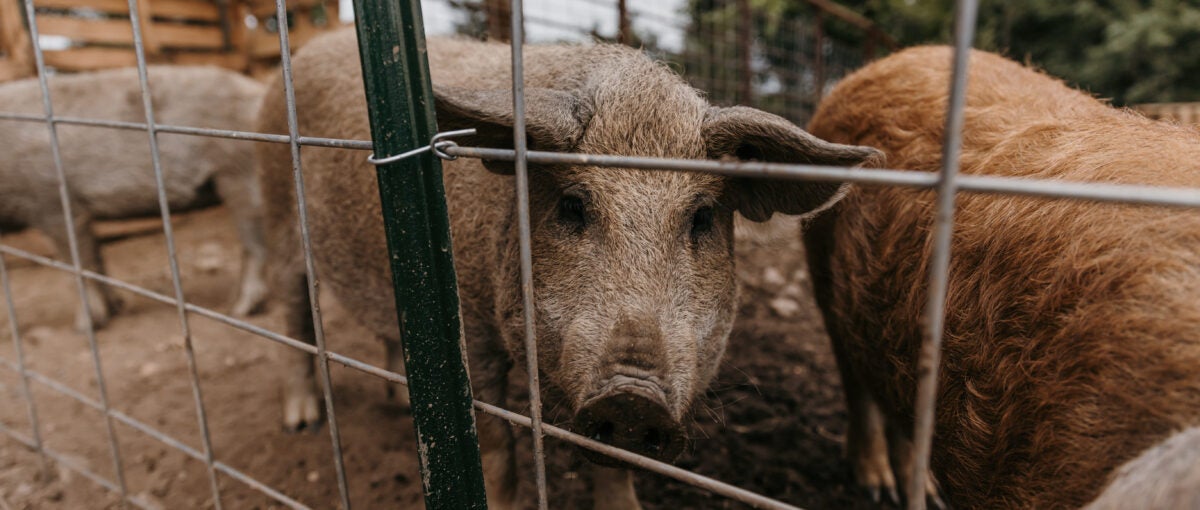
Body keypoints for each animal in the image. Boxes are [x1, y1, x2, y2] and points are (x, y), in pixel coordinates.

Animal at [0, 65, 270, 328]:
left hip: (239, 170)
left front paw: (87, 327)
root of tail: (258, 91)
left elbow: (76, 264)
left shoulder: (53, 202)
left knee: (253, 243)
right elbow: (96, 258)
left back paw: (240, 310)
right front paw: (116, 309)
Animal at [260, 28, 883, 508]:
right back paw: (301, 421)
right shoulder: (469, 330)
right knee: (290, 310)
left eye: (703, 216)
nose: (633, 395)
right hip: (276, 219)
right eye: (572, 206)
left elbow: (611, 463)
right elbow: (496, 445)